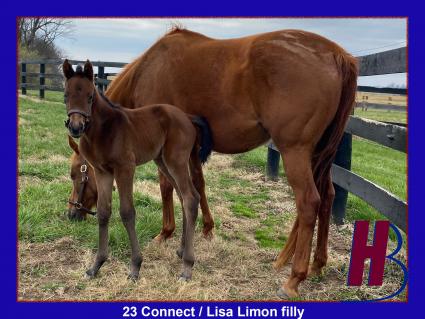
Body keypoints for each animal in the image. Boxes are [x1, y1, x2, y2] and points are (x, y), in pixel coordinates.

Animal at [61, 58, 212, 282]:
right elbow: (104, 212)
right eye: (66, 96)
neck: (106, 130)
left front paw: (135, 267)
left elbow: (127, 212)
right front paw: (96, 266)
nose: (76, 127)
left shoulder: (125, 169)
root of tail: (187, 117)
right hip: (162, 162)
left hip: (175, 161)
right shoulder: (102, 172)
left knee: (191, 197)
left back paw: (187, 267)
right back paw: (181, 250)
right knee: (184, 197)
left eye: (90, 97)